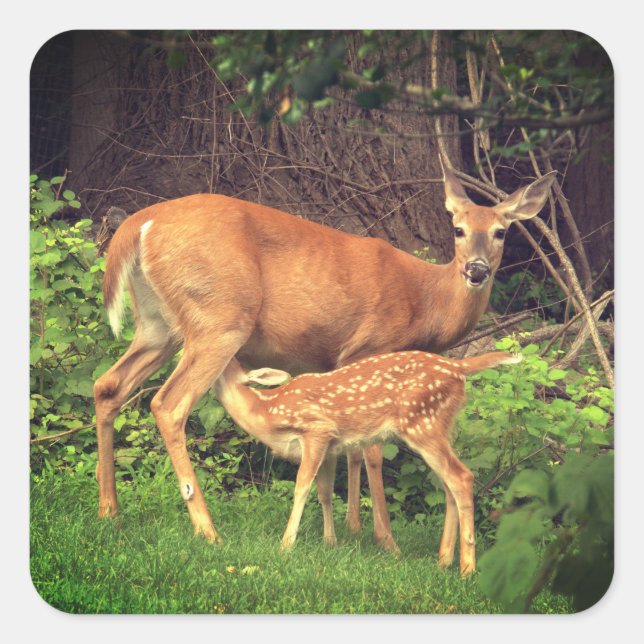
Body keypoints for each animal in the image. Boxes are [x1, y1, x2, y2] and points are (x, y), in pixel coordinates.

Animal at [94, 158, 555, 550]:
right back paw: (207, 530)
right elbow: (371, 452)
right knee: (168, 404)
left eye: (501, 231)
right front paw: (384, 539)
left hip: (158, 325)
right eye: (458, 229)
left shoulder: (344, 365)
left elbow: (348, 451)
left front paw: (349, 529)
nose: (476, 270)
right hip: (220, 319)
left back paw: (109, 511)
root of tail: (140, 223)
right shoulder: (371, 346)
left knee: (108, 385)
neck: (427, 301)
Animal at [212, 350, 522, 574]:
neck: (267, 411)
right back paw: (443, 561)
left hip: (422, 423)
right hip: (440, 426)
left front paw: (285, 546)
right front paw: (330, 543)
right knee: (449, 485)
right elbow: (325, 493)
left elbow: (301, 487)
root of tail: (459, 366)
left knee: (462, 477)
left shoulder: (317, 430)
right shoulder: (331, 447)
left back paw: (466, 569)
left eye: (225, 362)